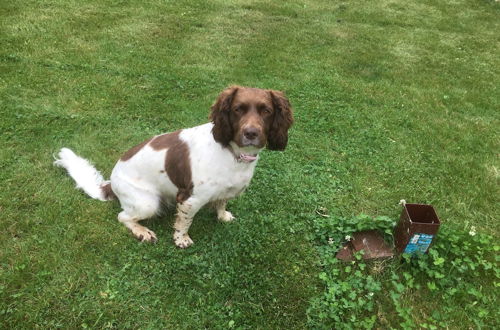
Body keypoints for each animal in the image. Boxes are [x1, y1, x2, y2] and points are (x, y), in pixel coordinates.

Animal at [55, 85, 292, 248]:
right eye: (237, 109)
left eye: (266, 111)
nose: (251, 133)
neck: (233, 154)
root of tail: (110, 184)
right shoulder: (189, 199)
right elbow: (184, 222)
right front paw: (181, 240)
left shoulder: (226, 190)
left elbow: (221, 203)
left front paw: (223, 215)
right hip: (147, 202)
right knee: (123, 216)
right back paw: (143, 232)